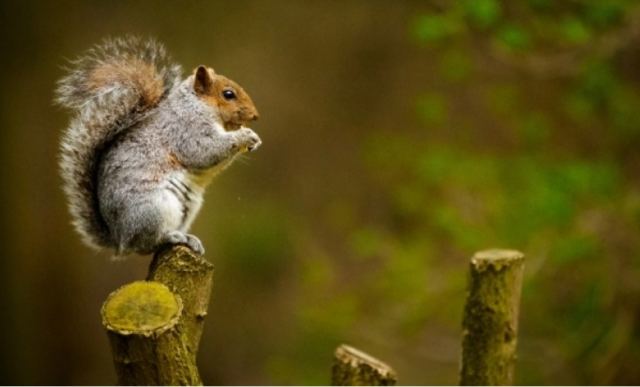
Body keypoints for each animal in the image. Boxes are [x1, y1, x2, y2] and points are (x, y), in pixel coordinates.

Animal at [56, 37, 262, 258]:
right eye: (228, 94)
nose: (255, 115)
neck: (196, 105)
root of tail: (119, 239)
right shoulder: (186, 130)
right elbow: (205, 151)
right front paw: (245, 135)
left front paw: (253, 140)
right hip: (153, 209)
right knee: (146, 243)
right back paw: (172, 237)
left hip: (187, 209)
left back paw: (190, 239)